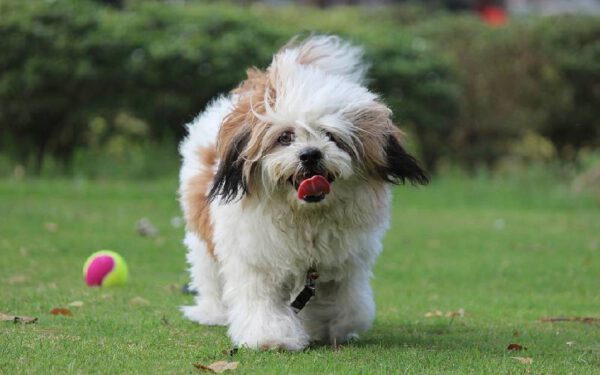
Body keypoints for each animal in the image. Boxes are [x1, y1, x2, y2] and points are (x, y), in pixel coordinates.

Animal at [177, 33, 426, 352]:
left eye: (332, 137)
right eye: (285, 137)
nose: (310, 154)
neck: (305, 216)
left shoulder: (342, 265)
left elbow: (348, 306)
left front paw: (328, 327)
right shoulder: (256, 259)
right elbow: (262, 302)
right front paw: (272, 336)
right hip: (203, 238)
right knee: (209, 273)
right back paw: (214, 313)